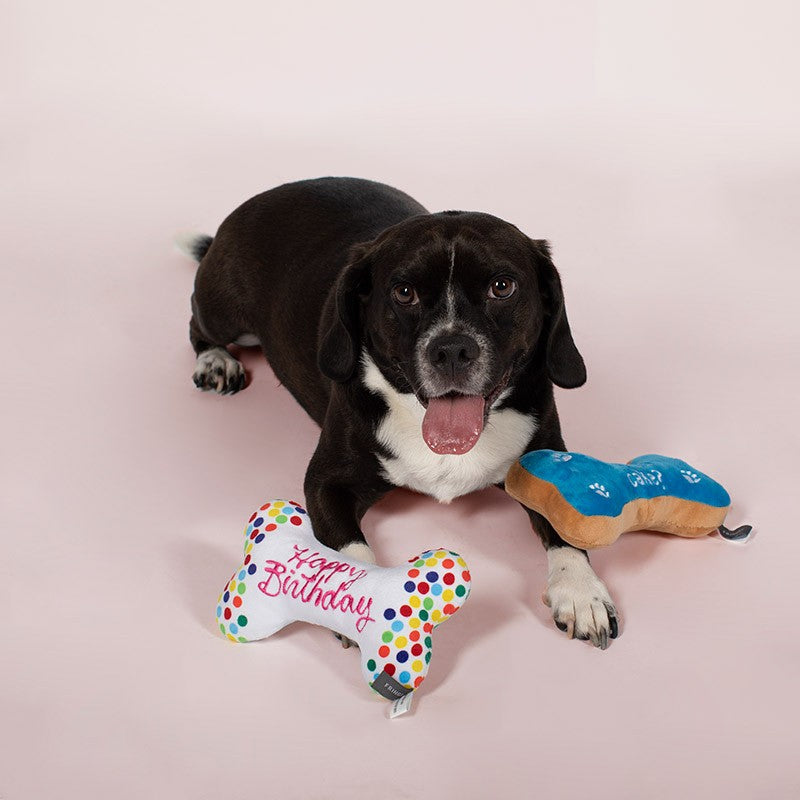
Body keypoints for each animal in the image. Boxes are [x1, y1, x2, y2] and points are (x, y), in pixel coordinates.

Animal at [181, 177, 620, 648]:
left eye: (502, 286)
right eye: (404, 292)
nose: (452, 348)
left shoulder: (548, 462)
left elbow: (564, 532)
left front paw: (580, 592)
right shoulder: (325, 482)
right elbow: (351, 548)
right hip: (223, 313)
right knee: (197, 320)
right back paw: (215, 361)